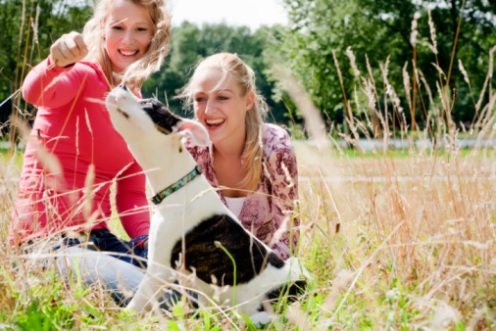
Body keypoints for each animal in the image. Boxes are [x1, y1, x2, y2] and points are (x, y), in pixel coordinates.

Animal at [105, 85, 310, 324]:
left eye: (150, 105)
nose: (122, 85)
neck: (177, 186)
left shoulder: (158, 270)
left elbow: (136, 303)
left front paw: (118, 320)